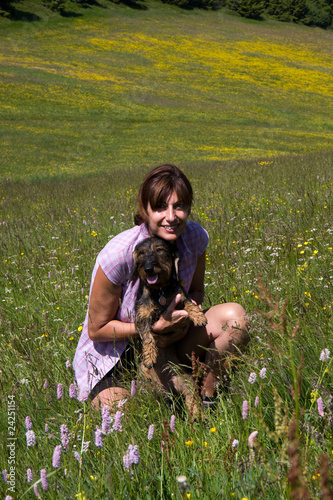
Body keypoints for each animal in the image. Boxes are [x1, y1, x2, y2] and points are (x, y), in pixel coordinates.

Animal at [130, 236, 206, 412]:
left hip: (188, 384)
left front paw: (198, 316)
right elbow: (148, 336)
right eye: (141, 253)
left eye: (159, 249)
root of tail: (168, 389)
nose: (148, 268)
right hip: (146, 392)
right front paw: (150, 356)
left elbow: (189, 303)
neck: (159, 291)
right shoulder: (141, 316)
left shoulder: (180, 296)